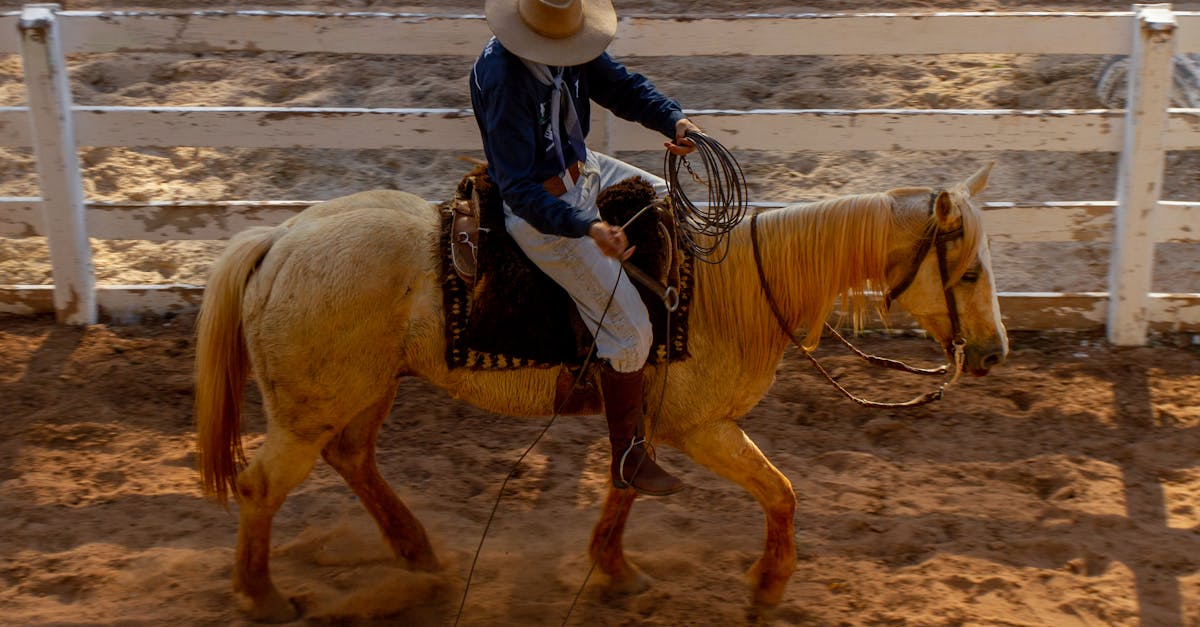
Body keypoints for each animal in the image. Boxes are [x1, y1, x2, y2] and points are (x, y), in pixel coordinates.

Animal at [194, 163, 1007, 622]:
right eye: (968, 271)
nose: (994, 352)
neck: (735, 290)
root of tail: (279, 239)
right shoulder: (700, 428)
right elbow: (780, 493)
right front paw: (768, 586)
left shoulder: (645, 415)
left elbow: (625, 485)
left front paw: (615, 569)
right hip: (309, 411)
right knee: (262, 486)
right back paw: (263, 595)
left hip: (365, 392)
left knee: (355, 460)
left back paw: (419, 553)